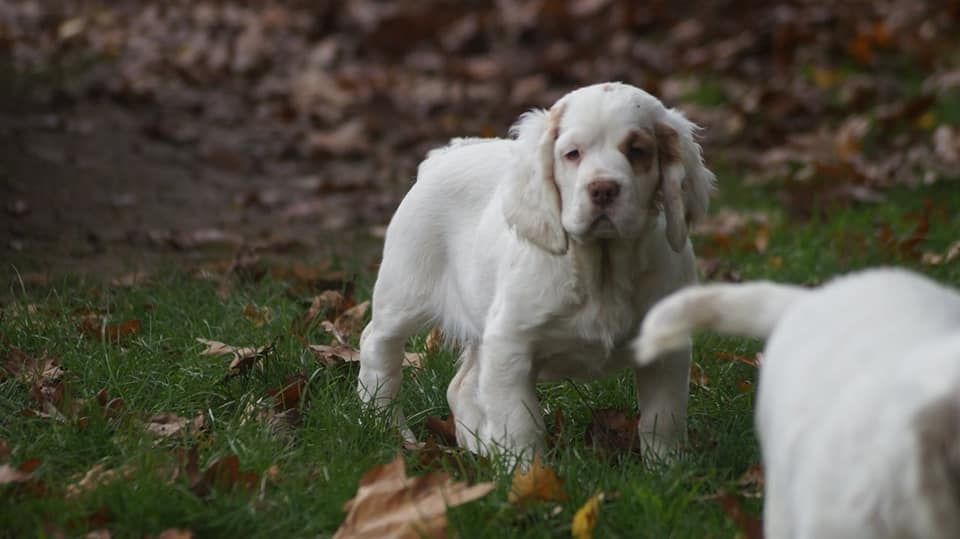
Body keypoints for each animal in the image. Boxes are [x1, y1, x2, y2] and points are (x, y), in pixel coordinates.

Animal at [356, 82, 716, 462]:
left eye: (637, 150)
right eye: (572, 154)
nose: (603, 189)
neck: (601, 269)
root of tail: (447, 153)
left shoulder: (667, 348)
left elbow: (664, 417)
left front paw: (667, 468)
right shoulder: (510, 345)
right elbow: (520, 424)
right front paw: (526, 473)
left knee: (462, 386)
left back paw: (480, 450)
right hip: (405, 293)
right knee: (377, 347)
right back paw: (389, 430)